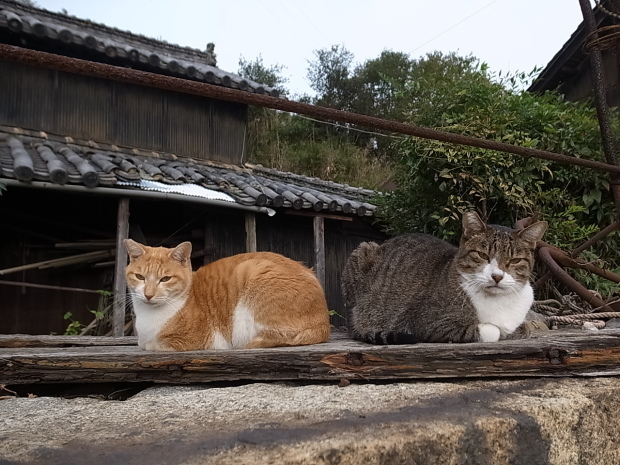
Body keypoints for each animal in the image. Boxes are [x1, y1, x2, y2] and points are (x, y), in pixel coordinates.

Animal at [123, 241, 332, 350]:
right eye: (140, 277)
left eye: (165, 279)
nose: (149, 294)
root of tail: (323, 323)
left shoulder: (192, 340)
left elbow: (152, 344)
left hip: (252, 272)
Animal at [344, 212, 548, 342]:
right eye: (482, 255)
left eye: (515, 260)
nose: (497, 276)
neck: (498, 301)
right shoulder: (426, 322)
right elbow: (490, 330)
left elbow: (523, 328)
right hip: (362, 251)